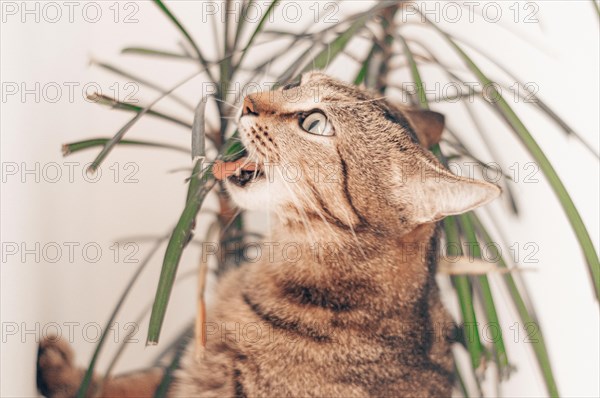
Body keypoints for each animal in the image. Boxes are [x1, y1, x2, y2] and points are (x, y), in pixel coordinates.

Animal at [35, 72, 500, 398]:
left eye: (315, 122)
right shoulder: (183, 370)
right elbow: (123, 382)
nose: (247, 101)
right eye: (296, 84)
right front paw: (62, 372)